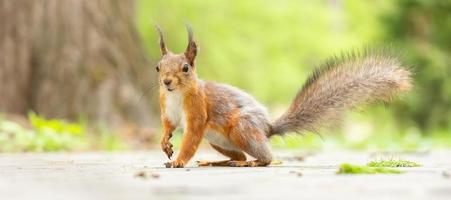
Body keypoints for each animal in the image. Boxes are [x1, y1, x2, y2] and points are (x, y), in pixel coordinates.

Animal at [155, 25, 414, 169]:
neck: (176, 95)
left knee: (266, 157)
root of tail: (267, 129)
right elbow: (168, 125)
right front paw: (165, 142)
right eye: (158, 67)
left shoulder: (198, 110)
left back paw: (251, 162)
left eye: (186, 68)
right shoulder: (166, 108)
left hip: (241, 128)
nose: (166, 82)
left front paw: (178, 161)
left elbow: (191, 138)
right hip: (219, 141)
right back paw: (219, 161)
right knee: (238, 153)